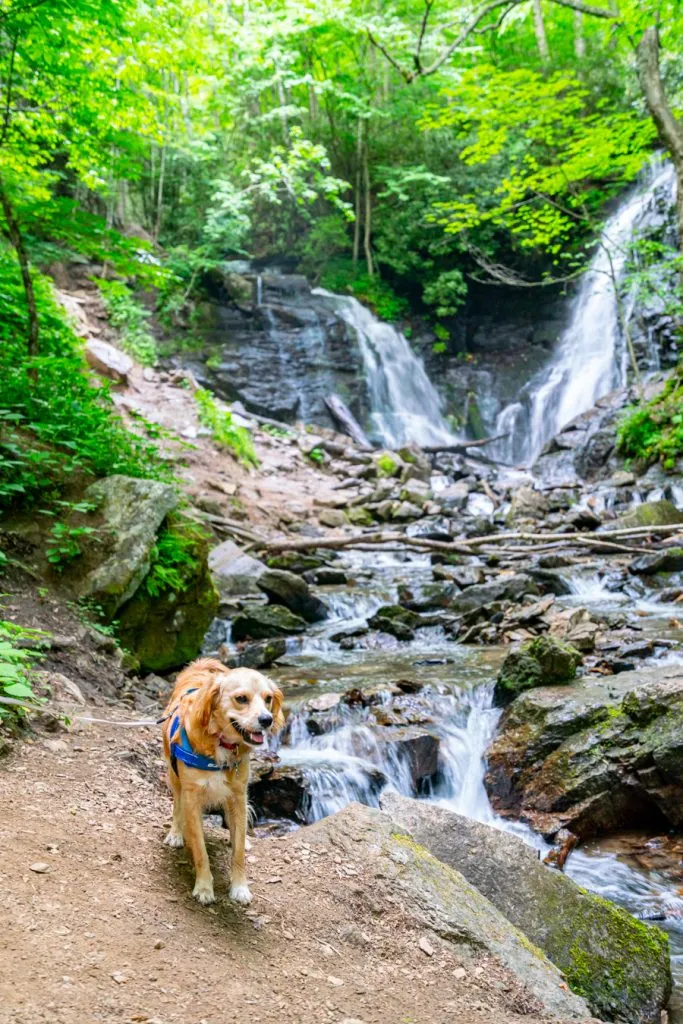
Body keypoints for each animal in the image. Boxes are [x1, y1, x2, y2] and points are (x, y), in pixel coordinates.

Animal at [160, 655, 282, 905]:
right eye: (241, 699)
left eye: (268, 699)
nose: (267, 719)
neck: (222, 744)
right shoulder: (192, 797)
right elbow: (200, 850)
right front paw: (204, 887)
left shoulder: (237, 794)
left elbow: (238, 851)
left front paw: (240, 887)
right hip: (174, 777)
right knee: (176, 806)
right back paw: (175, 833)